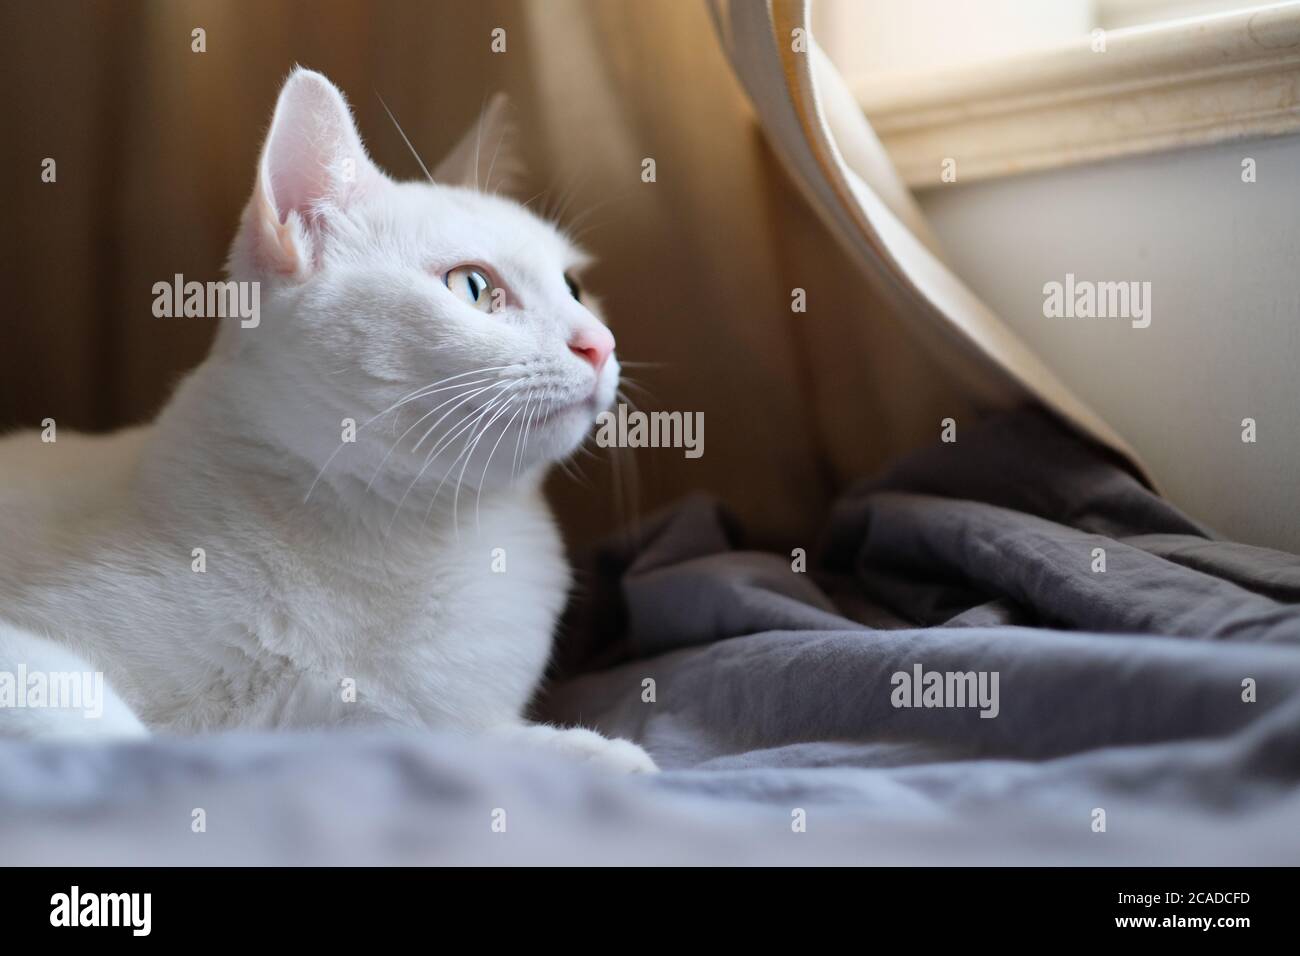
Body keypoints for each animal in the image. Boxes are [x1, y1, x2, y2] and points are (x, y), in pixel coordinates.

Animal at [0, 65, 655, 770]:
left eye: (574, 287)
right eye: (474, 287)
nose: (600, 343)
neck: (411, 533)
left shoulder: (379, 721)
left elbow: (460, 741)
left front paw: (598, 756)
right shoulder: (29, 654)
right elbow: (102, 729)